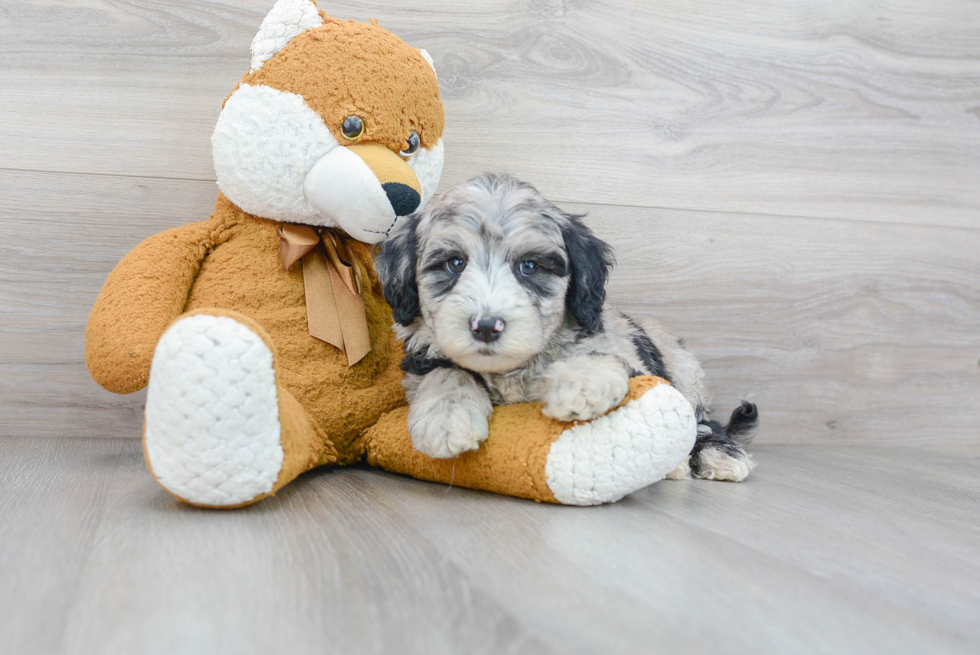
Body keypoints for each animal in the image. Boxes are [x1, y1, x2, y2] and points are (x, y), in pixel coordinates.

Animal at [376, 174, 756, 482]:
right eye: (454, 264)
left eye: (529, 266)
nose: (486, 326)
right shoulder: (424, 357)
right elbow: (447, 372)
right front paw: (445, 418)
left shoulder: (624, 355)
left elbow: (600, 356)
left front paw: (581, 383)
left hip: (685, 375)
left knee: (702, 421)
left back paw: (716, 457)